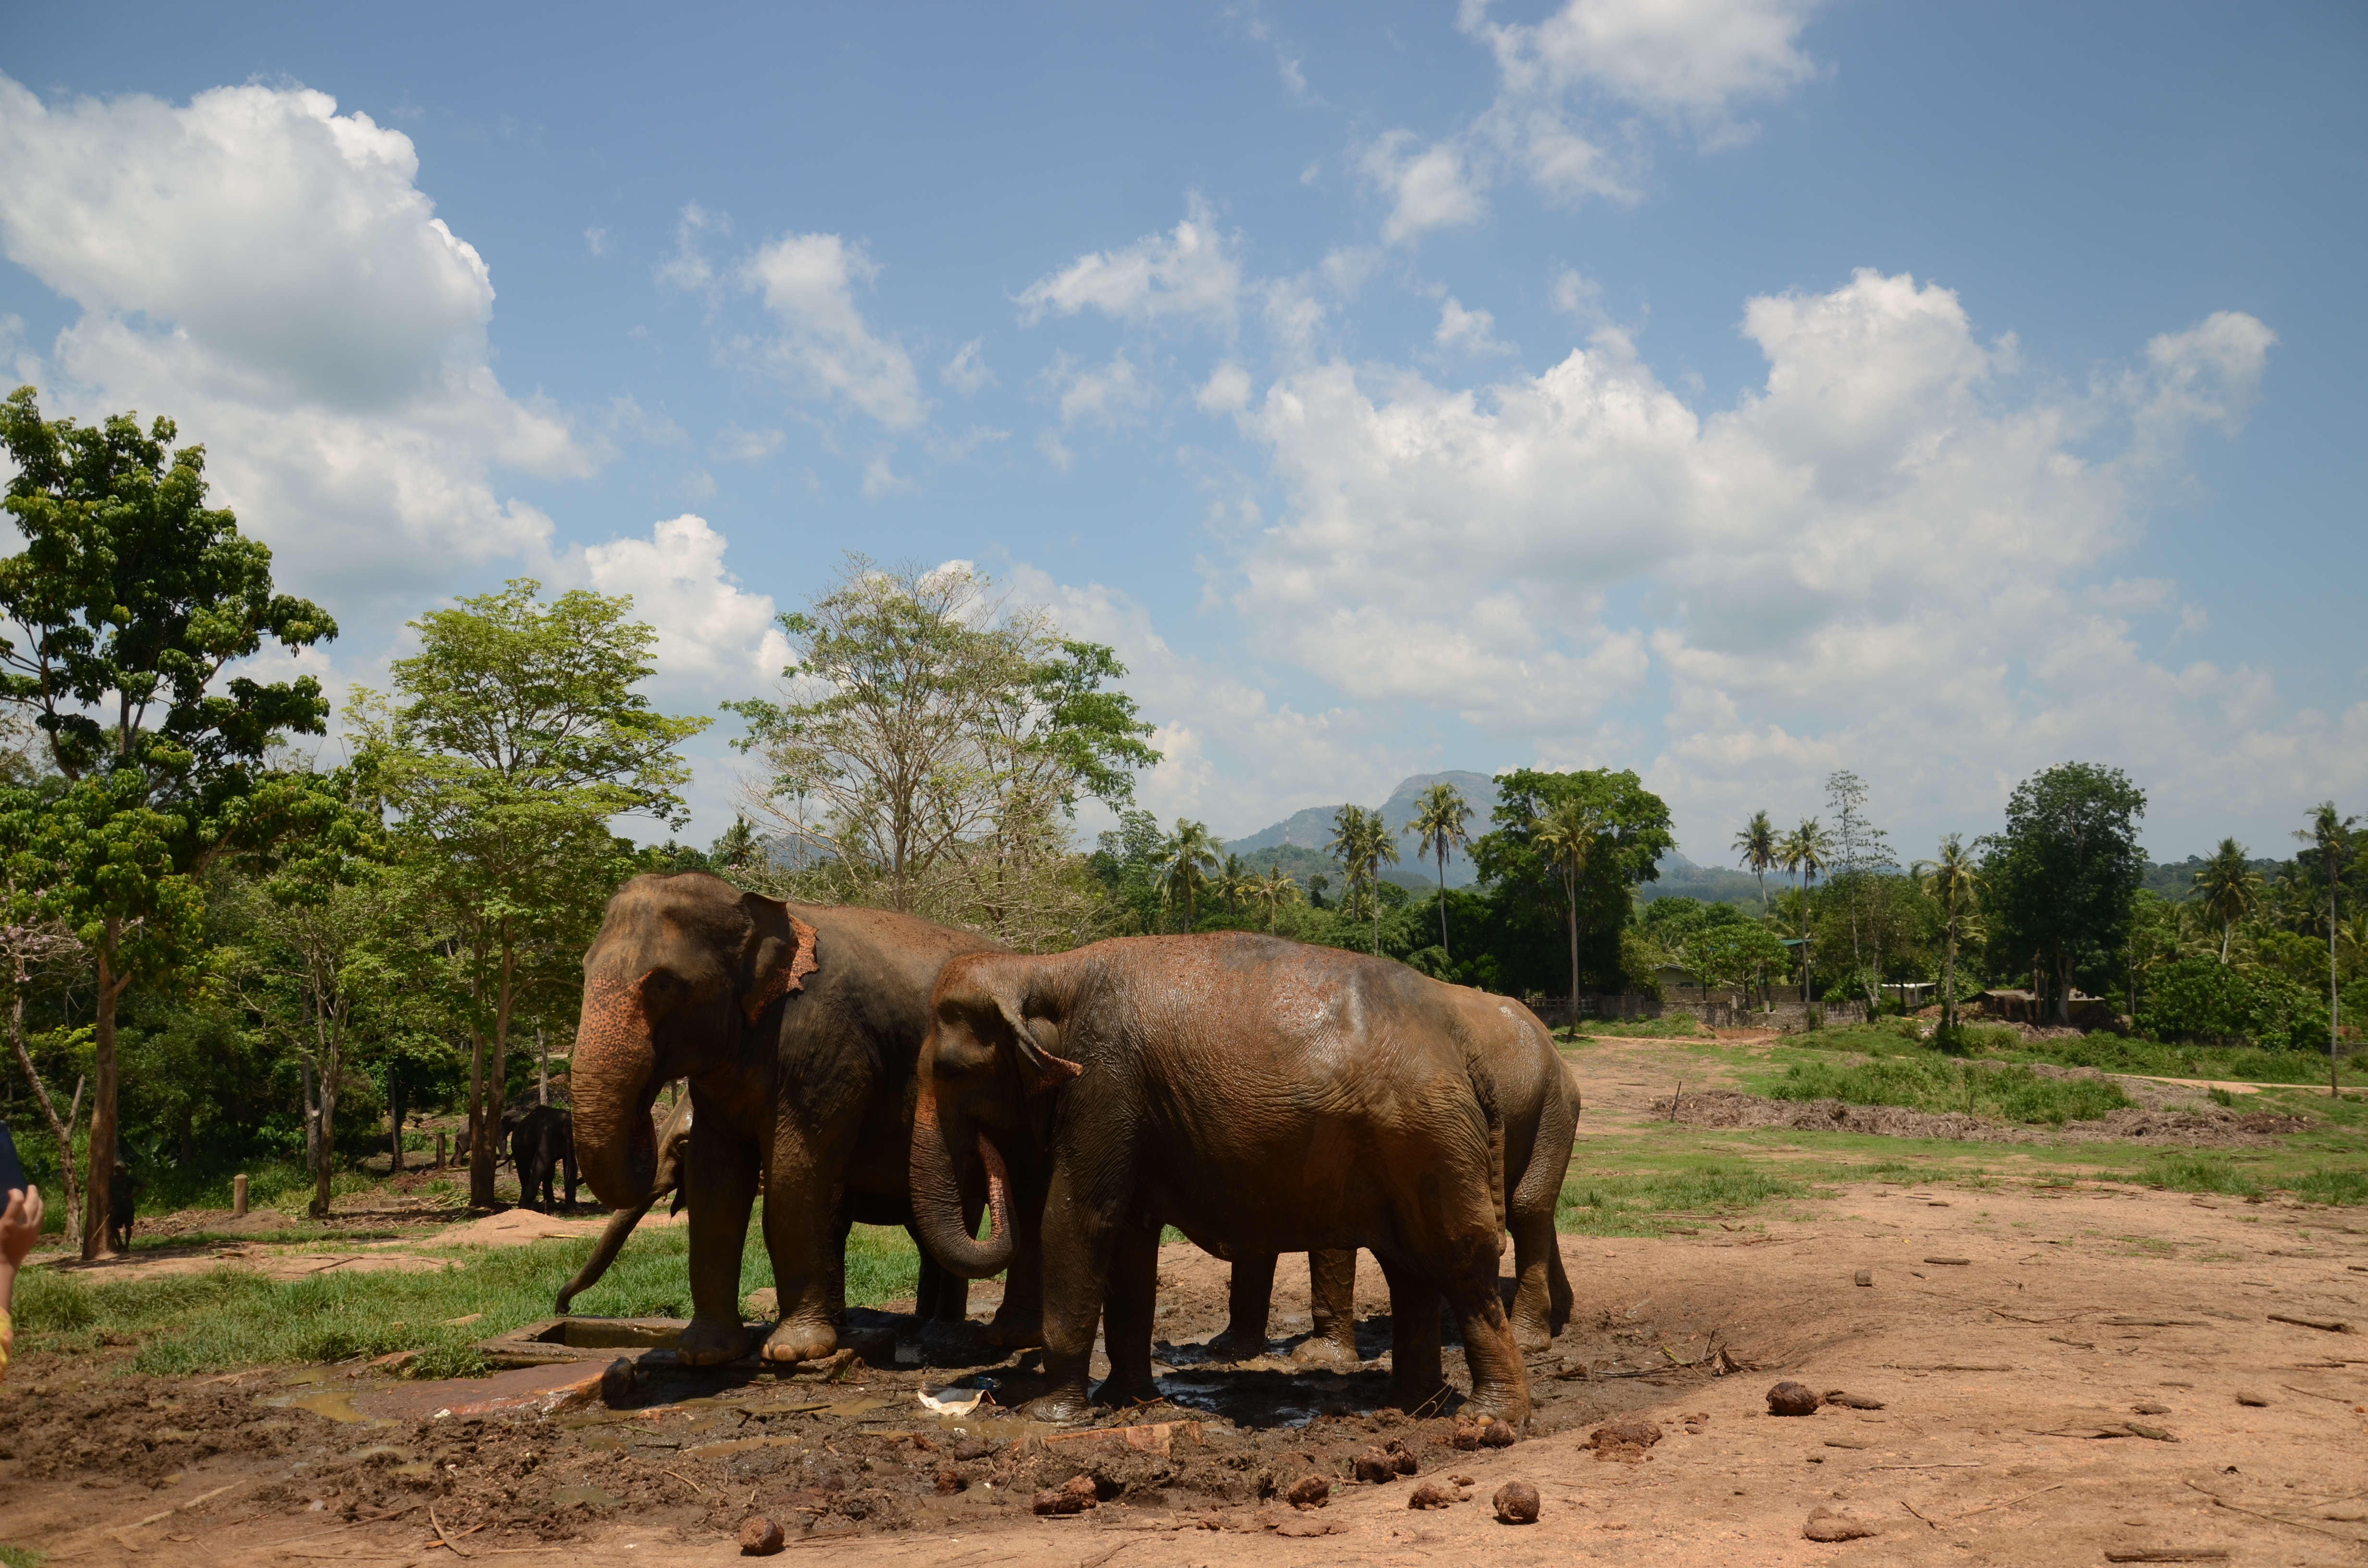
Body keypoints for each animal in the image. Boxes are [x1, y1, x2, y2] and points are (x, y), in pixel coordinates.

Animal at [509, 1103, 578, 1213]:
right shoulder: (547, 1136)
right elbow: (539, 1165)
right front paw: (524, 1206)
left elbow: (572, 1166)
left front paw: (573, 1209)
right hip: (516, 1147)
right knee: (524, 1172)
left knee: (549, 1174)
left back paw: (551, 1203)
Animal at [573, 876, 1027, 1373]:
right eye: (583, 970)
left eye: (664, 984)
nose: (563, 1305)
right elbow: (716, 1183)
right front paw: (704, 1354)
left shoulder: (826, 1046)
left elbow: (795, 1175)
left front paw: (795, 1352)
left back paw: (953, 1330)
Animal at [904, 938, 1534, 1431]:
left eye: (953, 1072)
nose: (987, 1148)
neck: (1042, 968)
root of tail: (1466, 1047)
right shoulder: (1125, 1110)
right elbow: (1129, 1240)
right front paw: (1128, 1402)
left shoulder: (1104, 1087)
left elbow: (1076, 1219)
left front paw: (1046, 1418)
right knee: (1410, 1269)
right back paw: (1410, 1409)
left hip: (1428, 1140)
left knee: (1458, 1260)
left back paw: (1488, 1420)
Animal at [1212, 994, 1581, 1373]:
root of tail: (1549, 1039)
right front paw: (1228, 1350)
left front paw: (1316, 1359)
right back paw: (1559, 1311)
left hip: (1552, 1108)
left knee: (1527, 1207)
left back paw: (1528, 1341)